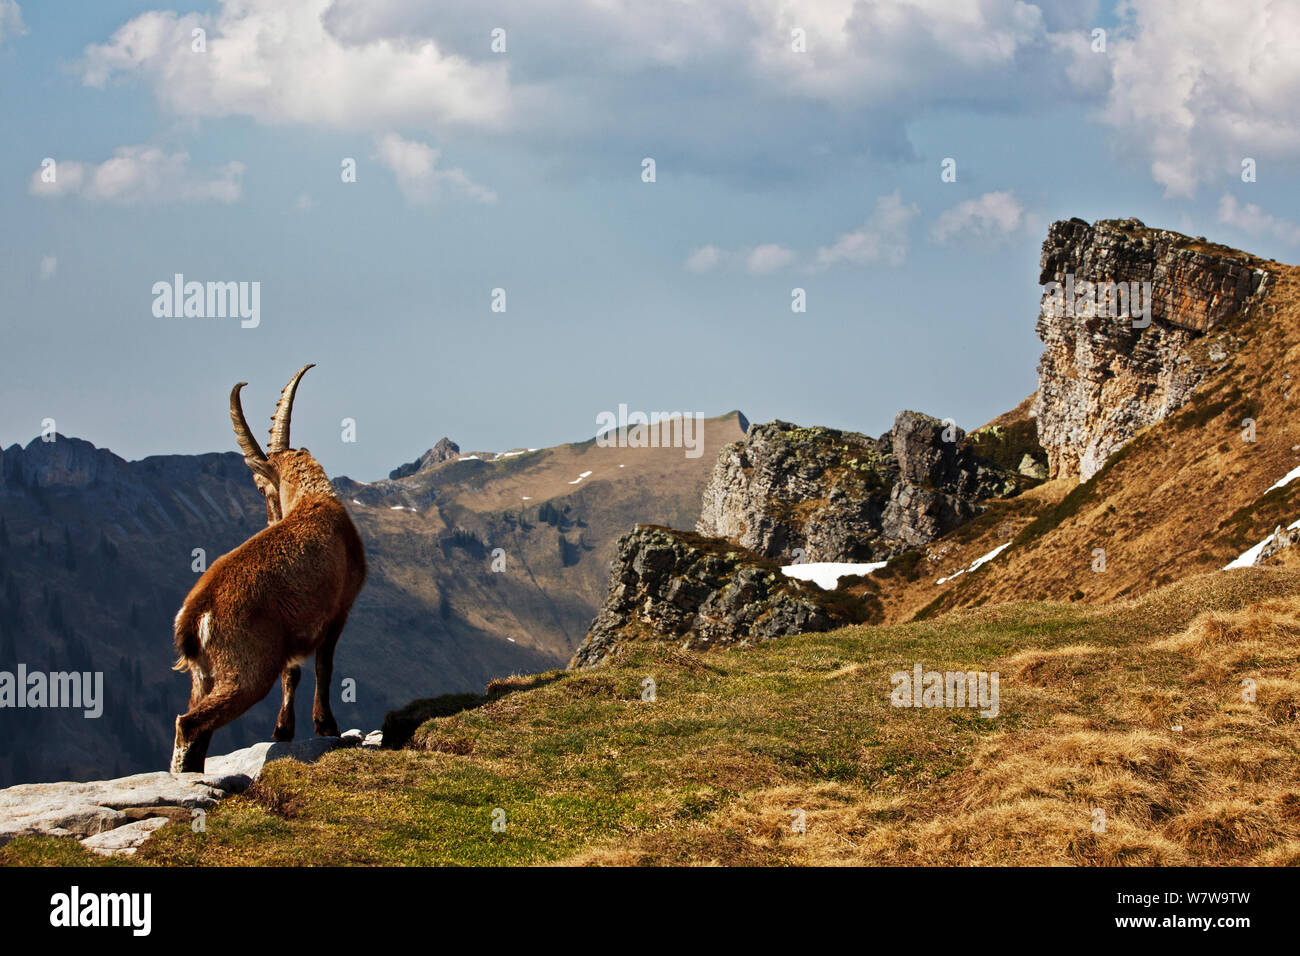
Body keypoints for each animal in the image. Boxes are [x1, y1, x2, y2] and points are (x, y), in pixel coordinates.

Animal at [169, 365, 367, 774]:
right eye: (262, 487)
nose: (270, 518)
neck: (315, 499)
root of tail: (195, 615)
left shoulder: (293, 627)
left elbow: (292, 673)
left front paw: (282, 732)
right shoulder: (338, 609)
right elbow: (324, 666)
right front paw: (326, 726)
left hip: (205, 674)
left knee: (196, 724)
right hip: (247, 669)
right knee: (189, 723)